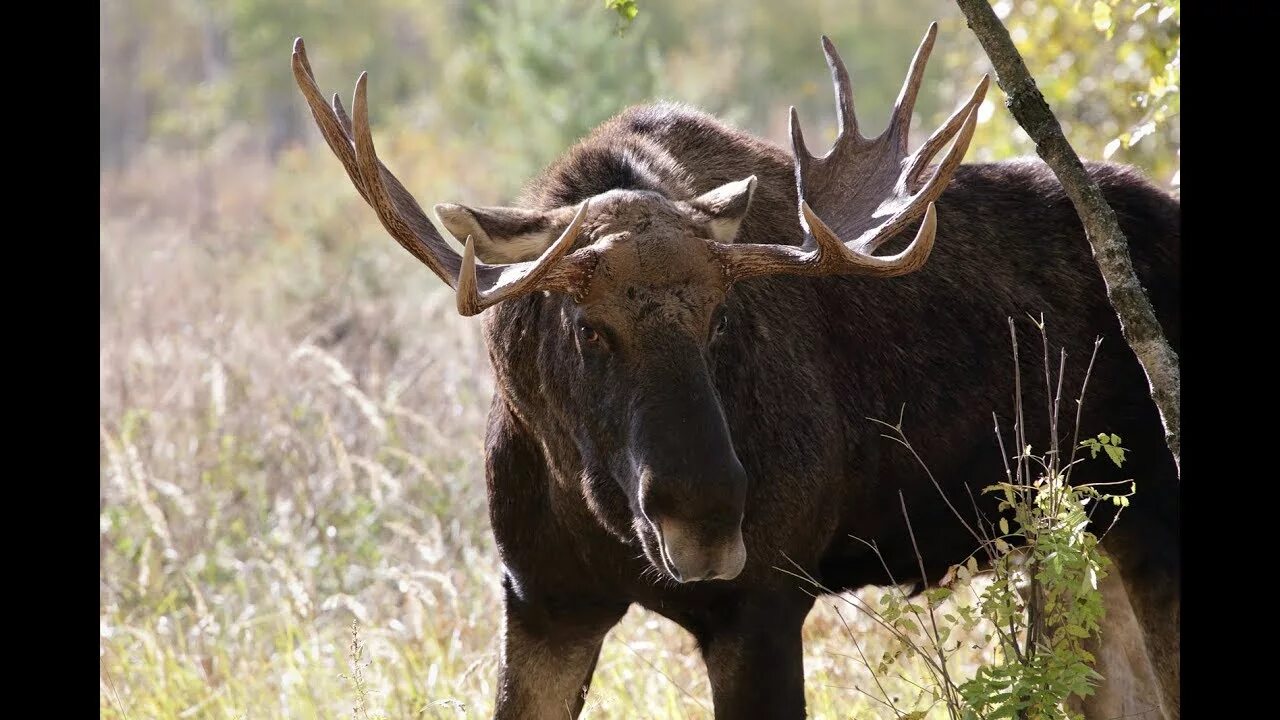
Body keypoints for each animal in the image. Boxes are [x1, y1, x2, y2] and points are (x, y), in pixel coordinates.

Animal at [288, 22, 1177, 717]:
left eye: (720, 317)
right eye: (585, 326)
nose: (707, 519)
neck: (593, 504)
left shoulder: (764, 603)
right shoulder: (541, 600)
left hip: (1140, 506)